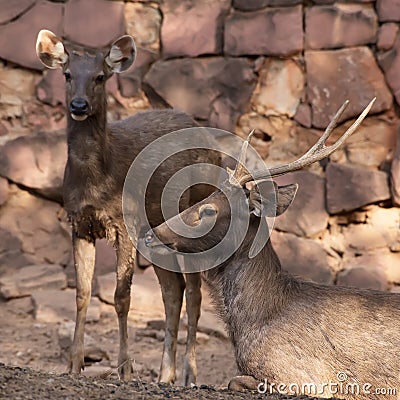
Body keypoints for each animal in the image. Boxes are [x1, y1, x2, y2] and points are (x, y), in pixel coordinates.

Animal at [35, 28, 222, 384]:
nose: (79, 105)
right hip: (159, 232)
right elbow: (81, 294)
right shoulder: (79, 224)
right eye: (67, 75)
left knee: (194, 293)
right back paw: (165, 374)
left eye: (100, 76)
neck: (97, 182)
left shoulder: (126, 221)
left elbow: (122, 296)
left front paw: (125, 367)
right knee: (173, 289)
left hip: (195, 213)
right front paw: (74, 363)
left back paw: (189, 374)